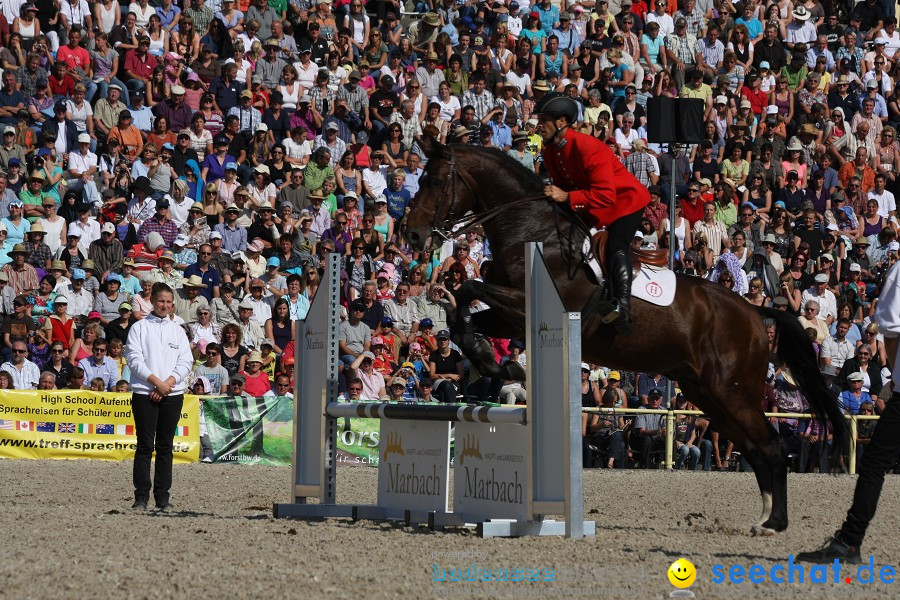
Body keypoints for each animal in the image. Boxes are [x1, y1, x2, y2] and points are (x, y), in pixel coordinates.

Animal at [404, 136, 848, 536]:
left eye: (437, 180)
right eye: (420, 178)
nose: (412, 236)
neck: (532, 231)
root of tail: (756, 313)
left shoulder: (526, 305)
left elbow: (468, 289)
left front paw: (496, 360)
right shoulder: (510, 318)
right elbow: (465, 314)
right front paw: (492, 360)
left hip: (732, 393)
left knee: (772, 448)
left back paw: (774, 523)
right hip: (709, 394)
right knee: (756, 450)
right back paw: (765, 518)